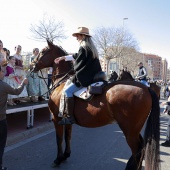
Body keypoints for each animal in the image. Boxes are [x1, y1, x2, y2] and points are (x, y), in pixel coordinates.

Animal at [32, 40, 160, 170]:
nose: (32, 65)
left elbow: (59, 139)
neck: (61, 82)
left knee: (137, 151)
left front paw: (58, 159)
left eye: (42, 51)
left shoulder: (56, 118)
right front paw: (66, 155)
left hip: (130, 130)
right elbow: (68, 136)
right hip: (134, 129)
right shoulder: (66, 119)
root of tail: (146, 88)